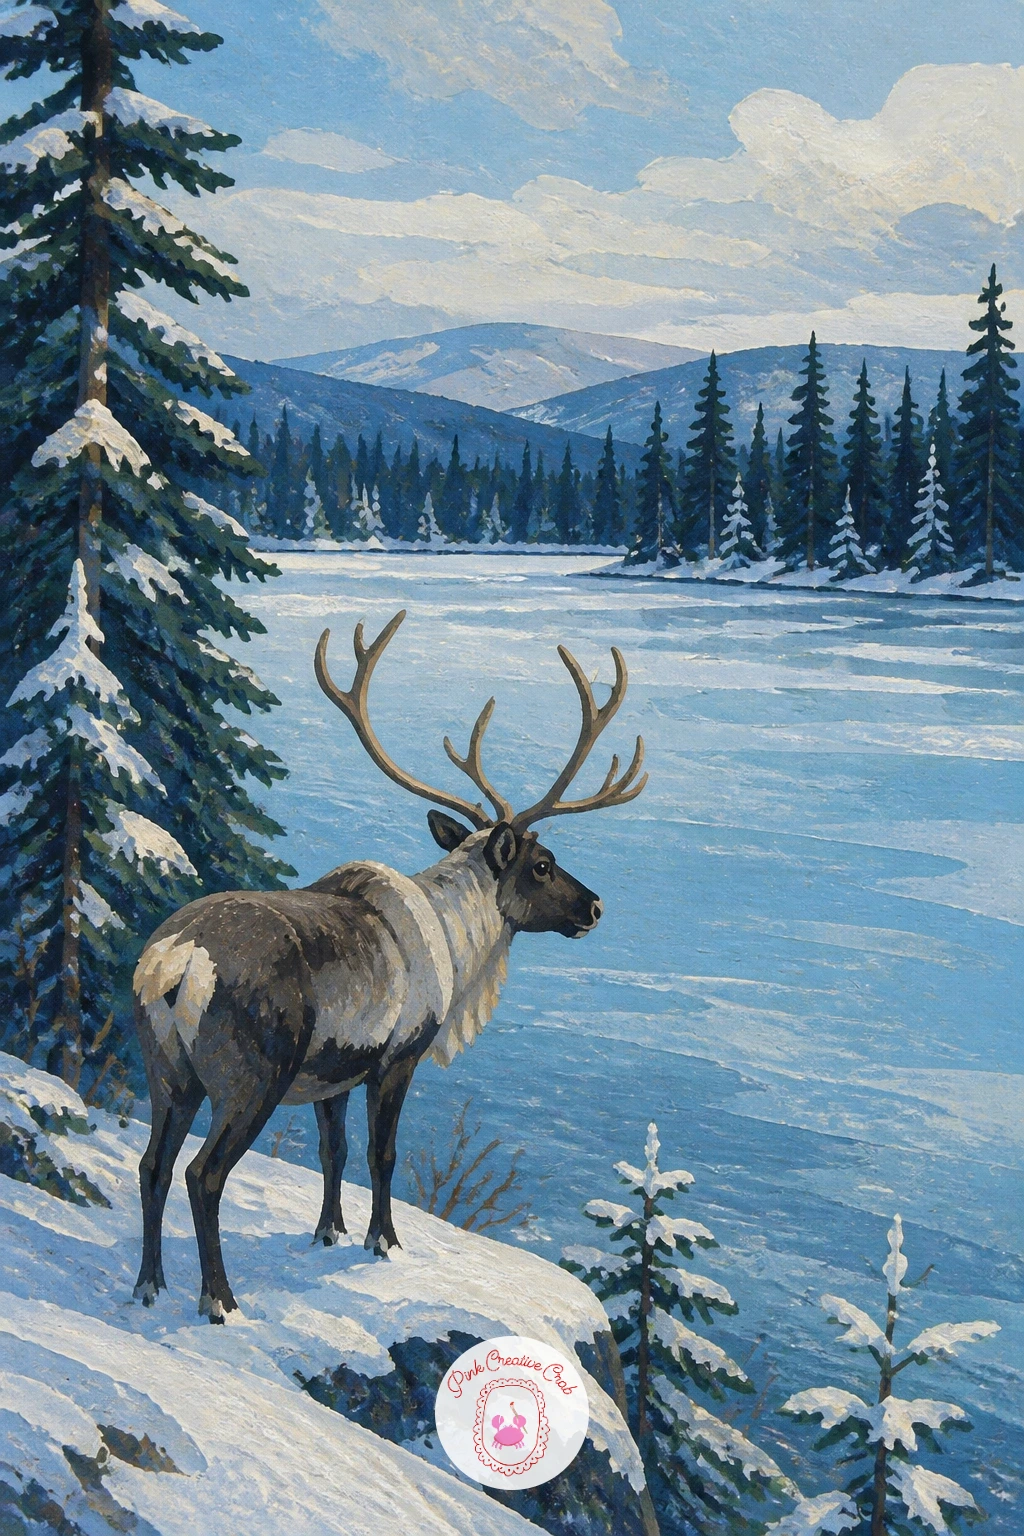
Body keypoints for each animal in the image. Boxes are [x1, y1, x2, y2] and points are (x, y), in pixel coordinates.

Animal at [132, 610, 647, 1321]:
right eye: (542, 865)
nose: (594, 906)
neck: (461, 949)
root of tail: (176, 961)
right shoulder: (398, 1055)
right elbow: (382, 1155)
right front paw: (383, 1241)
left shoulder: (335, 1074)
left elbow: (335, 1149)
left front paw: (328, 1231)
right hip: (249, 1078)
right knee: (202, 1174)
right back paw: (219, 1300)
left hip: (167, 1071)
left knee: (152, 1165)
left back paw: (148, 1285)